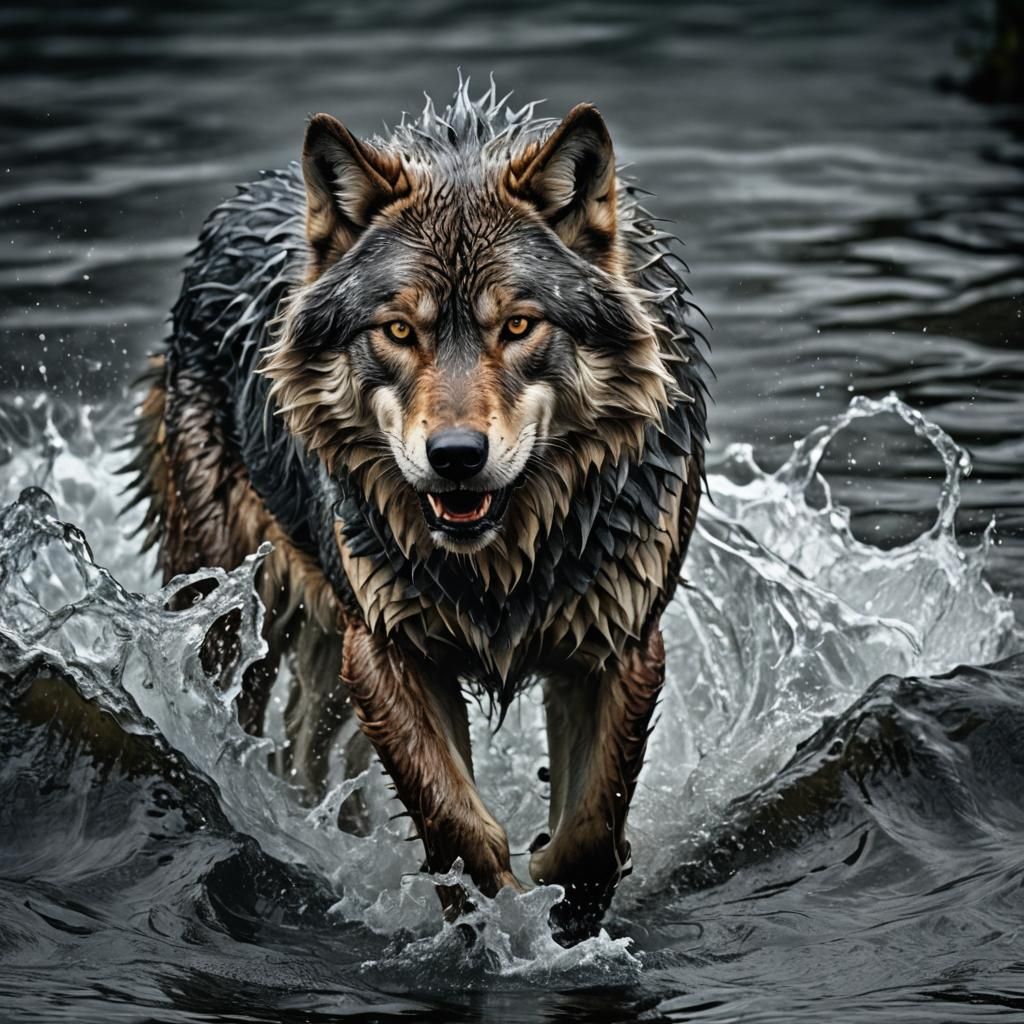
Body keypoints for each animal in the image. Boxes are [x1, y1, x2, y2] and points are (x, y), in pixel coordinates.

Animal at [126, 79, 708, 941]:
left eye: (519, 325)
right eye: (399, 330)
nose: (456, 455)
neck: (501, 566)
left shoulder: (618, 643)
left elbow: (591, 832)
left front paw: (563, 912)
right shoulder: (386, 649)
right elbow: (457, 823)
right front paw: (491, 922)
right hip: (238, 617)